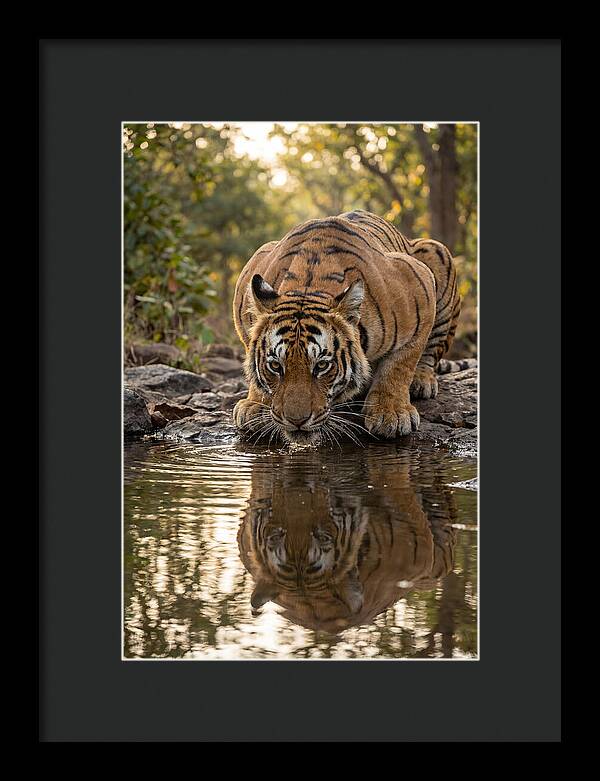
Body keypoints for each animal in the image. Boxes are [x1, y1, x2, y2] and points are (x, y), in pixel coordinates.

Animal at [232, 209, 465, 444]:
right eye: (275, 366)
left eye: (322, 366)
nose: (296, 421)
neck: (309, 285)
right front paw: (255, 404)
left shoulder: (419, 284)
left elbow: (400, 365)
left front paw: (391, 413)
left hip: (437, 252)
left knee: (432, 350)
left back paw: (421, 381)